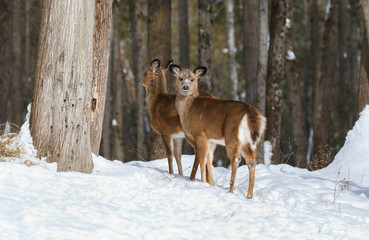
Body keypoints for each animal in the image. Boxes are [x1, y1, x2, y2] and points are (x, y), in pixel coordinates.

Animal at [170, 63, 264, 199]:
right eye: (180, 78)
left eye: (192, 79)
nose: (185, 87)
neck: (188, 109)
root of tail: (250, 112)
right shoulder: (211, 141)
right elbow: (209, 160)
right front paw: (211, 184)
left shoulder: (200, 135)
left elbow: (202, 160)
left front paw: (202, 182)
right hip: (248, 141)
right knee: (251, 161)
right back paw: (249, 195)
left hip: (232, 135)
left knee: (236, 159)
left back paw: (230, 190)